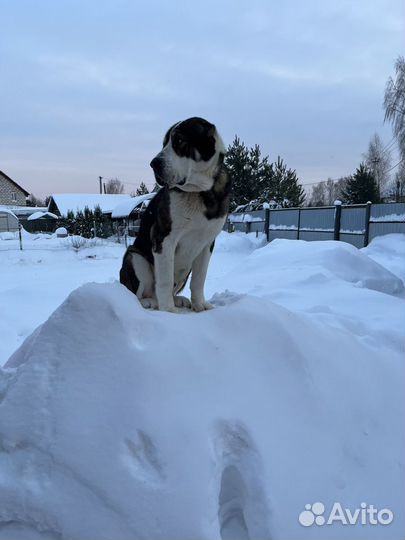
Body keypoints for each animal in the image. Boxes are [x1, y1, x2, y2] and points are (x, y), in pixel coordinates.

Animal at [118, 117, 229, 312]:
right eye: (164, 144)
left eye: (179, 141)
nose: (154, 164)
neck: (199, 192)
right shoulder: (163, 238)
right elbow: (165, 280)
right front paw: (168, 310)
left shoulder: (207, 243)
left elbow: (199, 279)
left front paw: (199, 305)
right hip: (135, 257)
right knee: (137, 293)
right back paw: (151, 302)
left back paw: (178, 300)